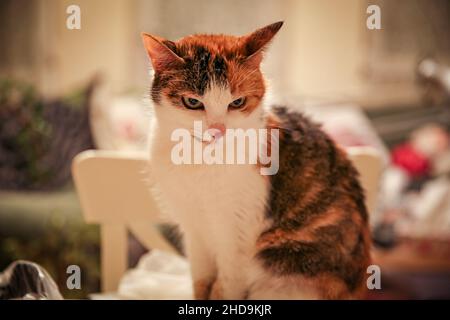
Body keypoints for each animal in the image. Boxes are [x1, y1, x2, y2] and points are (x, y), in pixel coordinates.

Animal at [142, 21, 370, 298]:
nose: (218, 130)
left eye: (237, 102)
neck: (201, 160)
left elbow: (224, 286)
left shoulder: (238, 237)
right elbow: (201, 281)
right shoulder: (194, 228)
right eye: (193, 102)